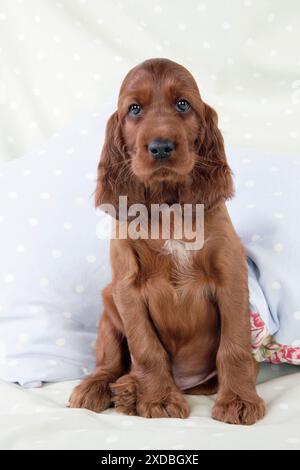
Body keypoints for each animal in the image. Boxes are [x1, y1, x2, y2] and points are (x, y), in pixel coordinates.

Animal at [68, 58, 264, 426]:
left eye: (183, 104)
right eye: (134, 109)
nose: (160, 147)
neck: (168, 206)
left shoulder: (231, 277)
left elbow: (234, 347)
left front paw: (239, 400)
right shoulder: (126, 289)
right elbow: (146, 350)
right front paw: (158, 398)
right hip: (107, 310)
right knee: (111, 363)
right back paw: (112, 388)